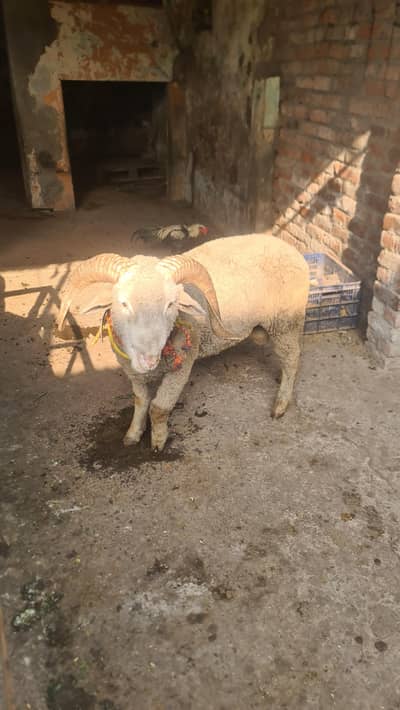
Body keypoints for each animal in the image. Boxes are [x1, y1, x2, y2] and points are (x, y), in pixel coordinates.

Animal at [59, 232, 310, 451]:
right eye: (123, 303)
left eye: (171, 303)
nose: (149, 357)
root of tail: (290, 249)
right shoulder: (133, 373)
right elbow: (140, 401)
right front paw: (133, 434)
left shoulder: (183, 364)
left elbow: (158, 408)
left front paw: (158, 442)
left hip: (287, 321)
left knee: (292, 360)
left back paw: (281, 404)